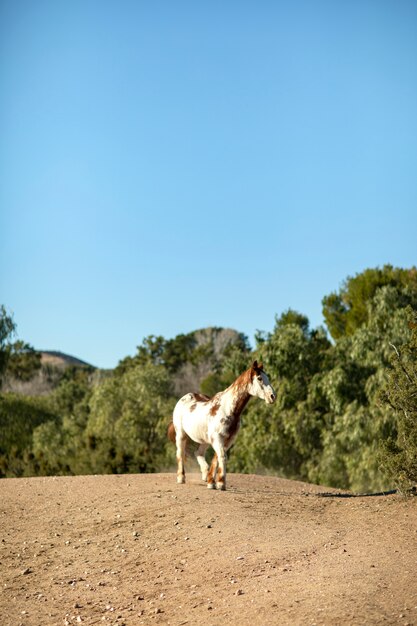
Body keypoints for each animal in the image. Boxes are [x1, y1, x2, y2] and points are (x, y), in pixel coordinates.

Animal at [167, 360, 274, 488]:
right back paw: (181, 478)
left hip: (204, 440)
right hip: (181, 435)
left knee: (198, 453)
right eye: (259, 378)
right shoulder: (218, 438)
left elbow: (217, 458)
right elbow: (222, 457)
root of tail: (184, 398)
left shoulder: (228, 440)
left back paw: (205, 475)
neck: (227, 409)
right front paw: (221, 483)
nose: (272, 397)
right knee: (180, 454)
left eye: (267, 377)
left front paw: (212, 482)